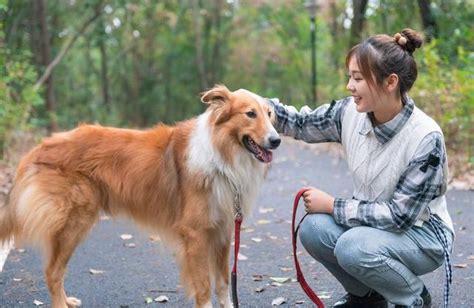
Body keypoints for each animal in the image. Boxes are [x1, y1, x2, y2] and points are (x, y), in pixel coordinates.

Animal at [0, 85, 280, 308]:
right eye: (250, 114)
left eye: (269, 114)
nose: (276, 140)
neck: (222, 154)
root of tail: (40, 146)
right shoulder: (196, 235)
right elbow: (204, 288)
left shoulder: (222, 232)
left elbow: (223, 284)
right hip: (74, 222)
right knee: (52, 271)